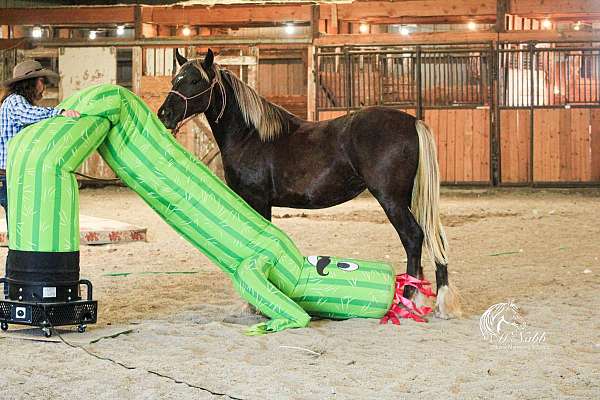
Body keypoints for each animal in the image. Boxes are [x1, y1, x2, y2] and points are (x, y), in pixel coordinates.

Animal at [158, 50, 460, 318]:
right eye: (175, 79)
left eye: (195, 81)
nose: (164, 114)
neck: (250, 136)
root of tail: (413, 121)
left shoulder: (257, 200)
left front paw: (255, 305)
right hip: (411, 198)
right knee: (433, 236)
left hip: (391, 199)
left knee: (413, 237)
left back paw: (407, 300)